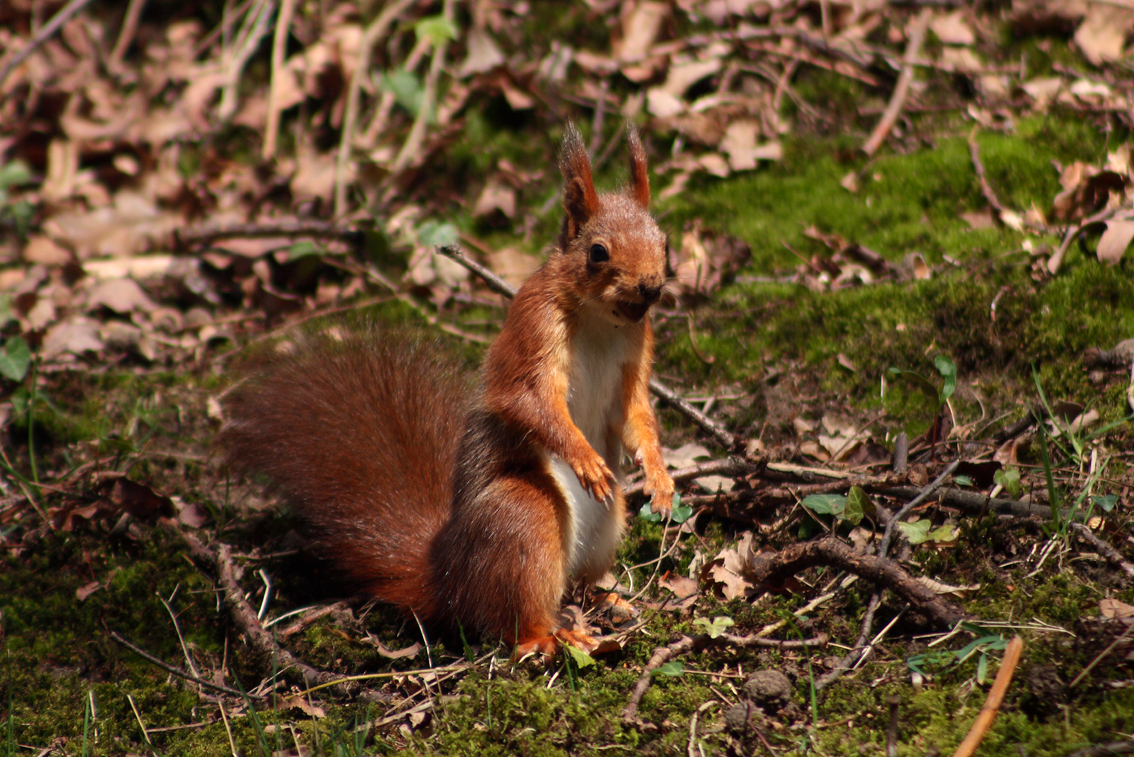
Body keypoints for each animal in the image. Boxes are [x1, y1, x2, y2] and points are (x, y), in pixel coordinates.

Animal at [225, 125, 675, 657]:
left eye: (665, 243)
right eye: (598, 252)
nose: (651, 287)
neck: (603, 320)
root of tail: (448, 576)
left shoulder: (637, 348)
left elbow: (636, 414)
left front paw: (661, 479)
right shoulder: (534, 328)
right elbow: (527, 400)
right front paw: (585, 458)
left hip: (607, 524)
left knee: (577, 581)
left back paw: (607, 599)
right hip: (523, 516)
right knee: (510, 620)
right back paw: (548, 636)